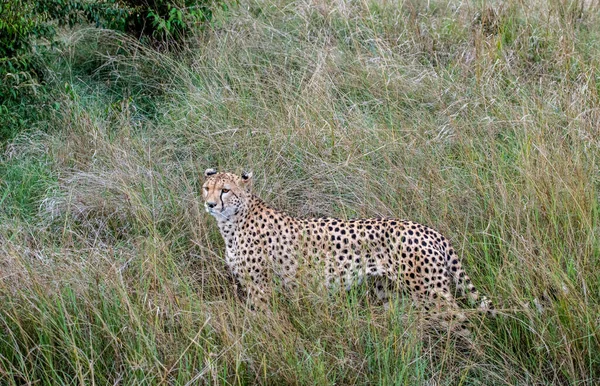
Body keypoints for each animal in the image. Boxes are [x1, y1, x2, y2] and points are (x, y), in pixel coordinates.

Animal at [202, 169, 492, 328]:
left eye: (225, 190)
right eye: (206, 188)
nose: (210, 204)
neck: (233, 221)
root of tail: (427, 229)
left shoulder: (260, 287)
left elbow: (262, 321)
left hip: (430, 292)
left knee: (460, 319)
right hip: (390, 291)